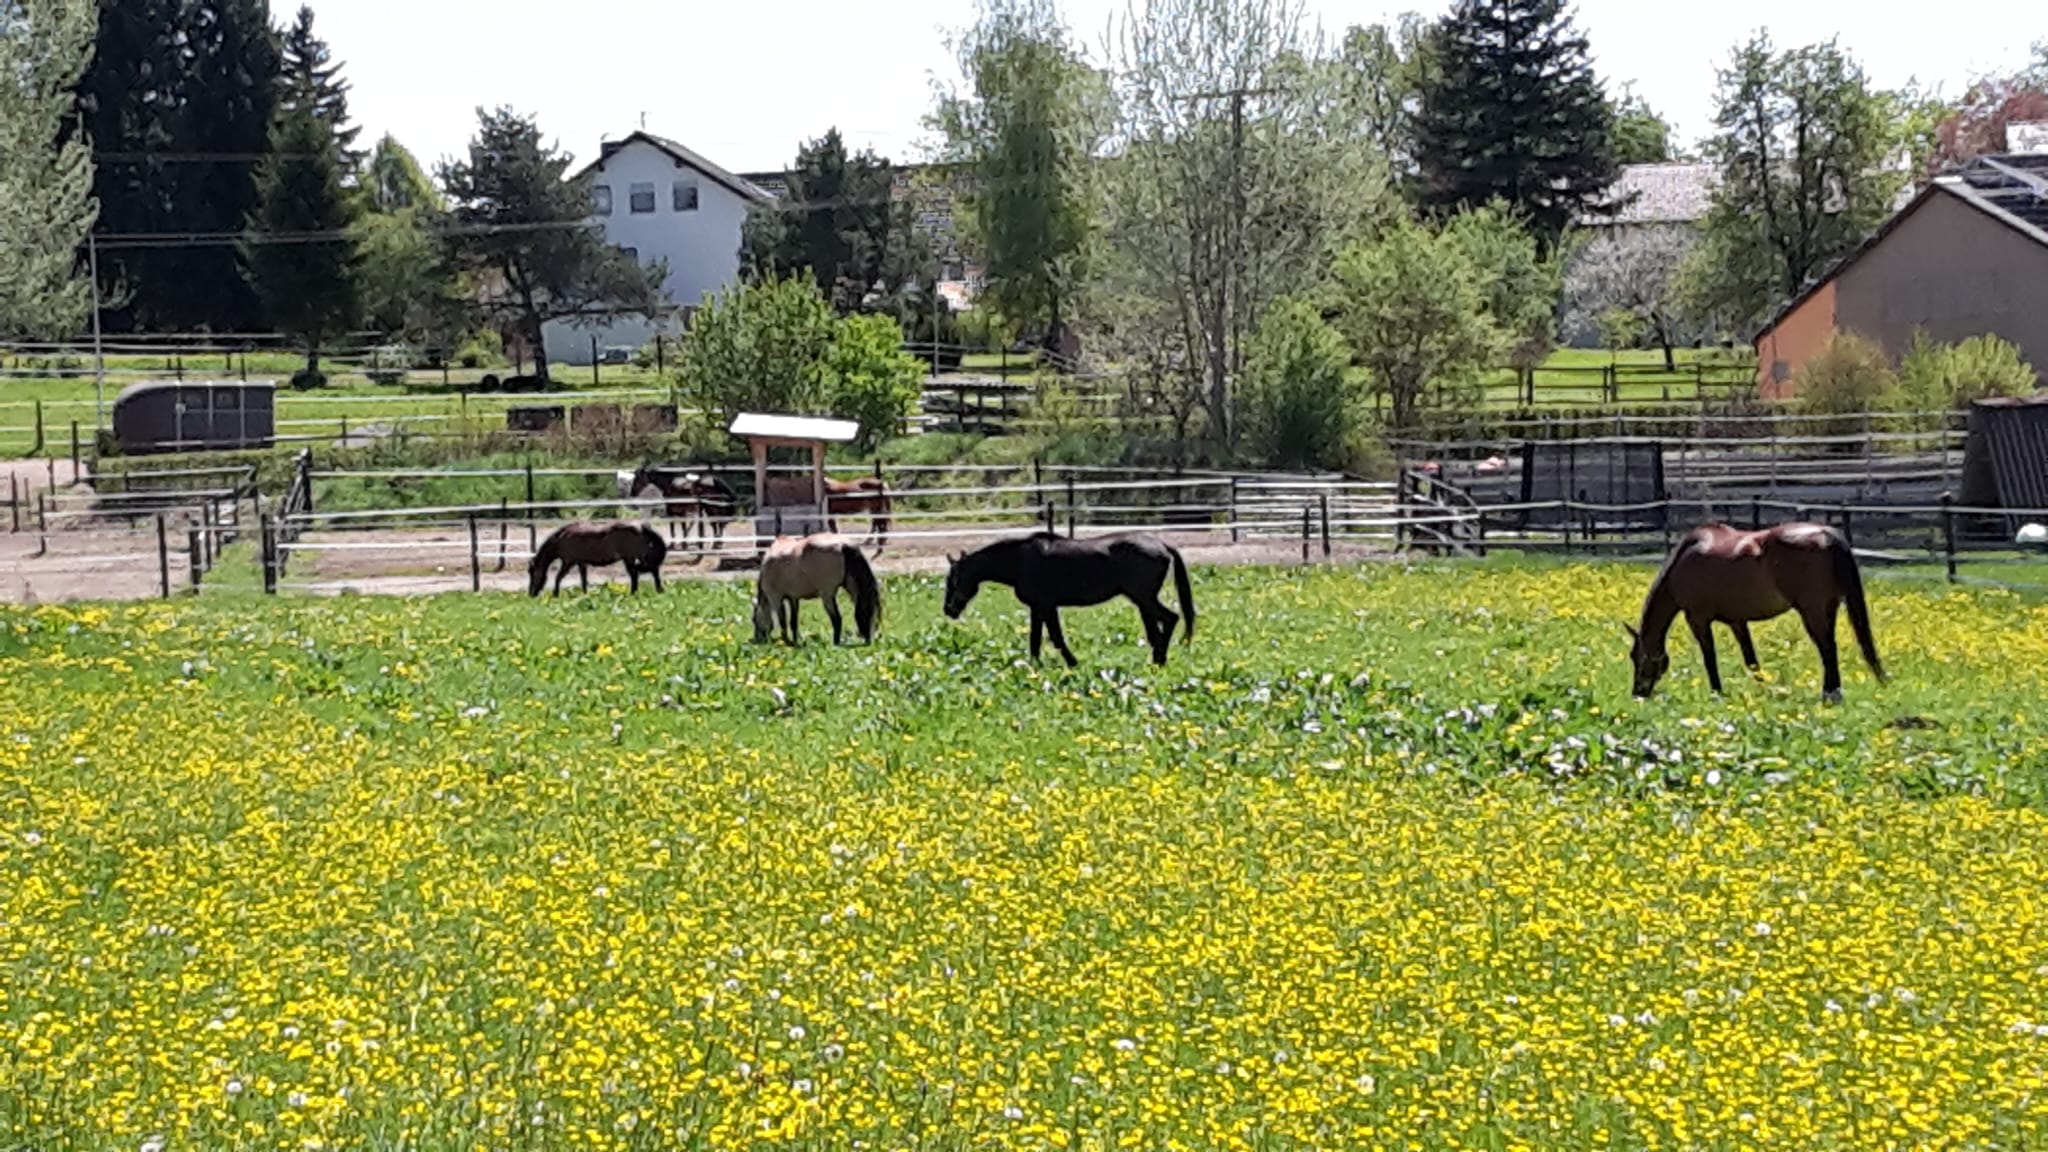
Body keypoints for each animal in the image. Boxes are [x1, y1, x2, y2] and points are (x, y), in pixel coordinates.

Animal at [524, 518, 667, 594]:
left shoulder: (568, 562)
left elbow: (558, 577)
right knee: (647, 572)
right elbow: (583, 580)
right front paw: (584, 594)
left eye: (533, 573)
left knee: (643, 573)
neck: (562, 538)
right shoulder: (581, 563)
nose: (531, 594)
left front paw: (555, 594)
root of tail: (641, 527)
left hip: (632, 558)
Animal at [946, 528, 1196, 664]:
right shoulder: (1043, 608)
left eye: (954, 580)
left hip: (1144, 599)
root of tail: (1162, 544)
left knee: (1171, 619)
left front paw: (1065, 663)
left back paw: (1160, 660)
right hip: (1143, 602)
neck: (1020, 561)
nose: (948, 610)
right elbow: (1043, 639)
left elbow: (1049, 638)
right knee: (1157, 632)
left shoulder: (1043, 606)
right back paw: (1157, 661)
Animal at [1630, 520, 1884, 701]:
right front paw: (1763, 689)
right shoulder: (1737, 621)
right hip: (1828, 608)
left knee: (1827, 648)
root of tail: (1826, 534)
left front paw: (1717, 693)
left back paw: (1830, 694)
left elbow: (1709, 657)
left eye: (1636, 657)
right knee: (1829, 648)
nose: (1637, 694)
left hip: (1812, 611)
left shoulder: (1698, 619)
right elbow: (1751, 659)